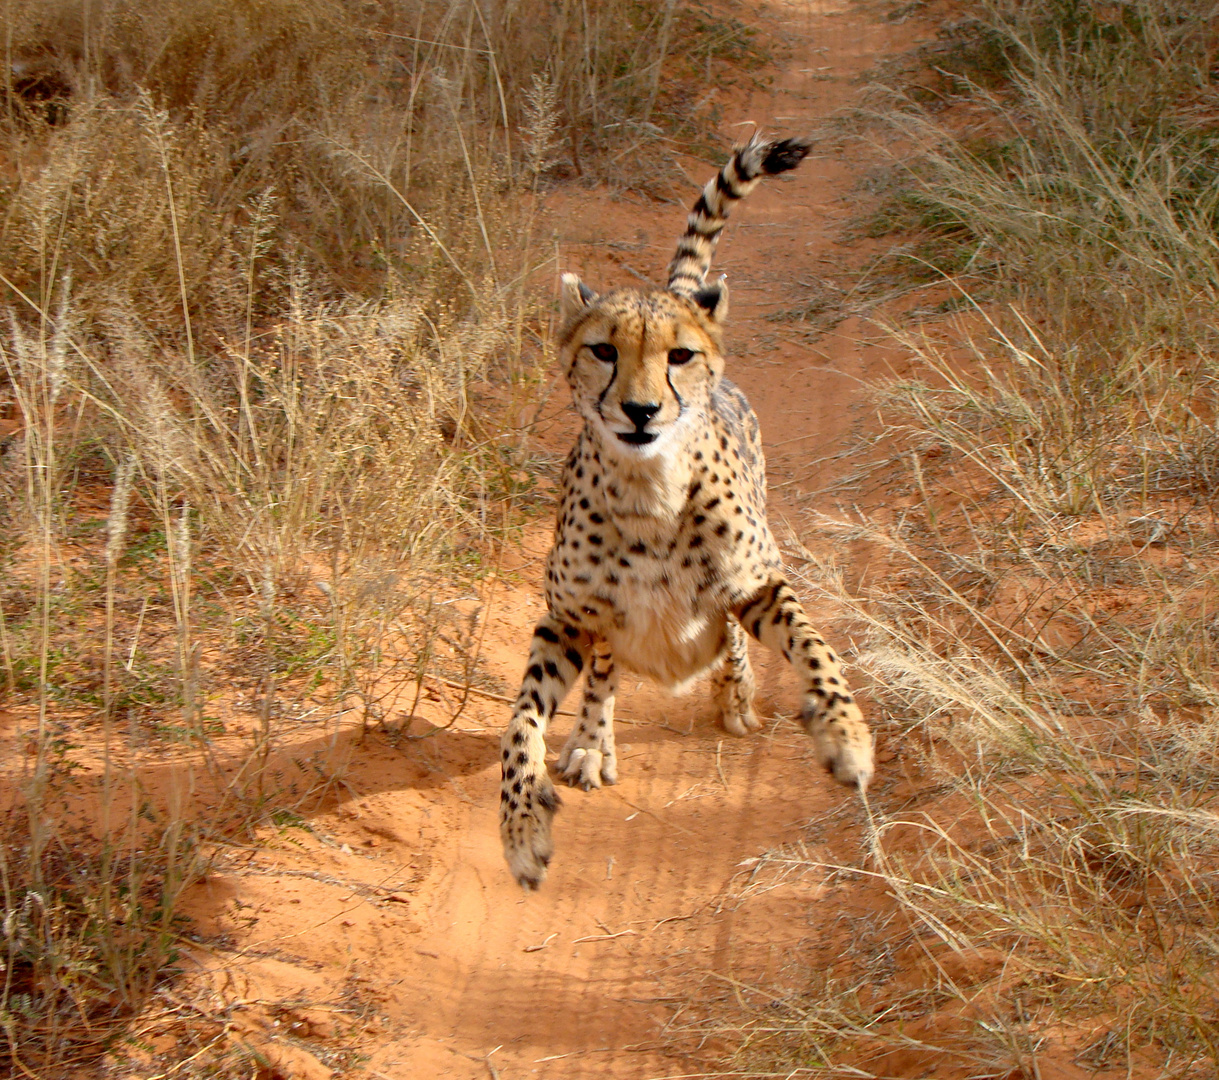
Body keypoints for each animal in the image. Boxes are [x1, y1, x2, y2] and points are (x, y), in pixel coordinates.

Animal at [499, 133, 872, 887]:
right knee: (607, 672)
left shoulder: (758, 583)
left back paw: (733, 693)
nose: (641, 410)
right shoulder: (569, 620)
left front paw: (845, 737)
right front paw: (523, 828)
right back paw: (594, 742)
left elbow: (815, 647)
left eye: (679, 355)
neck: (651, 492)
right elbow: (520, 724)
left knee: (727, 639)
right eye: (603, 349)